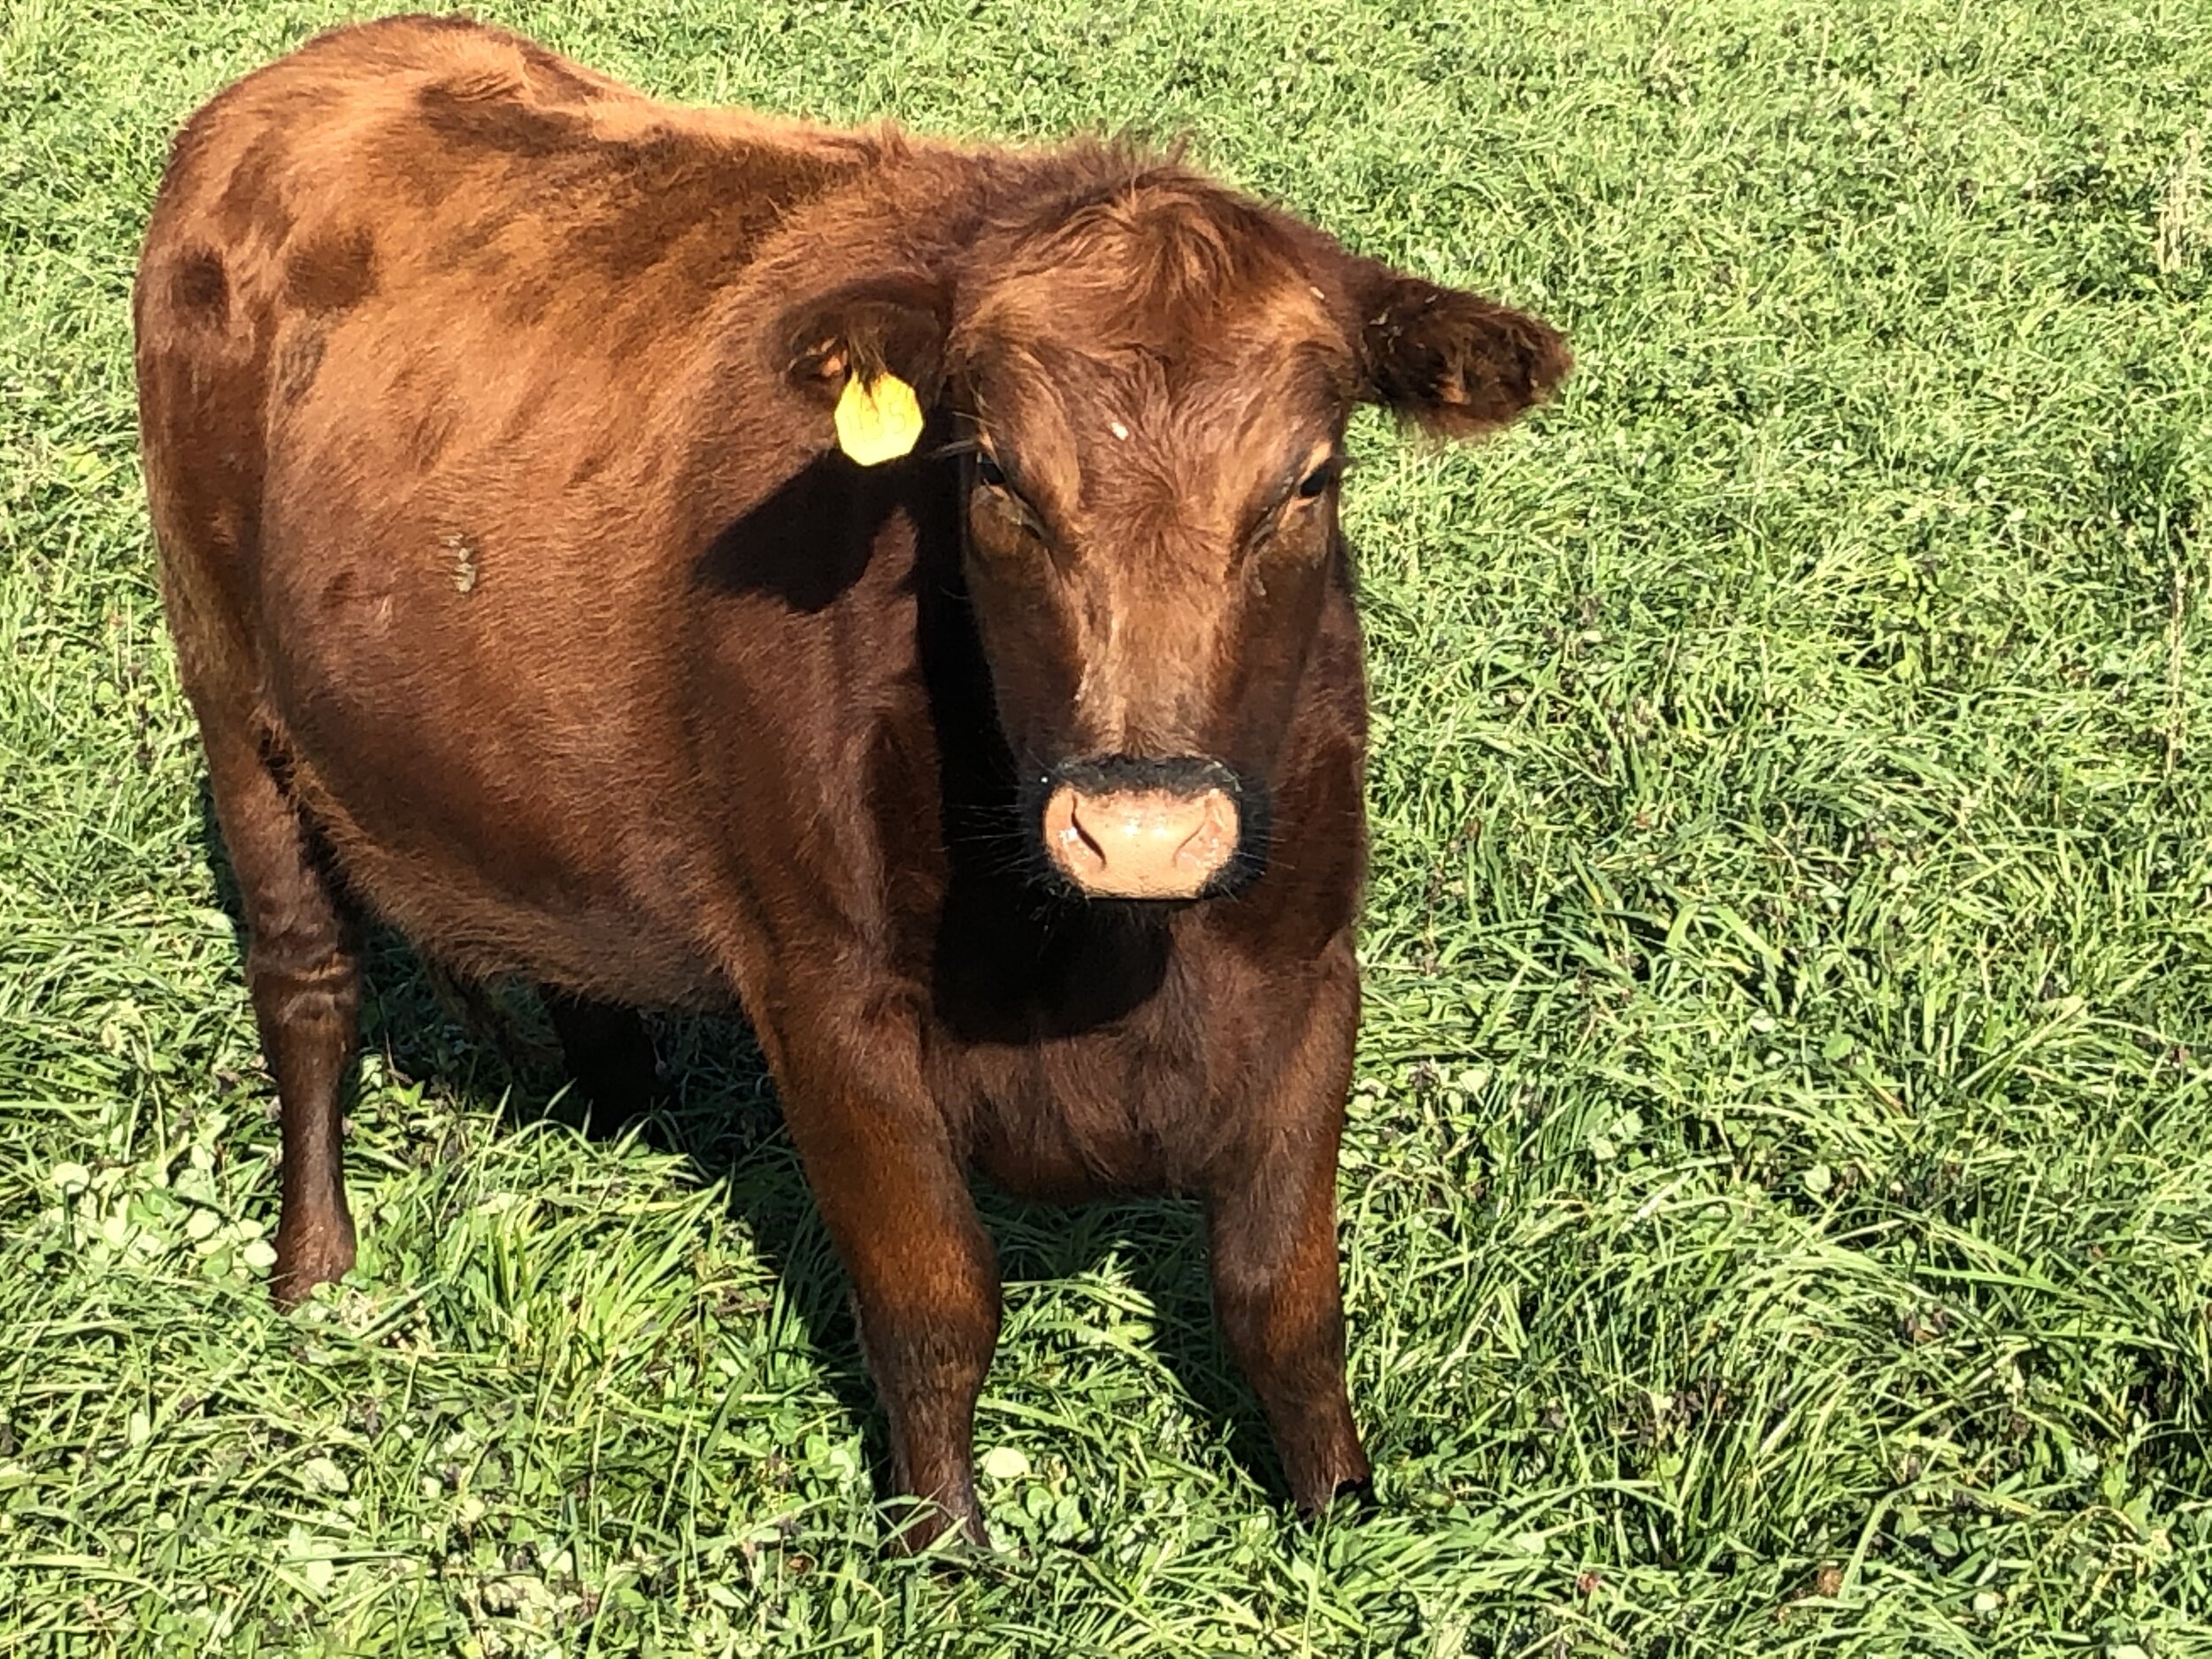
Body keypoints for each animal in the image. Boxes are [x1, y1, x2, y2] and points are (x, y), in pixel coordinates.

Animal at [133, 14, 1568, 1548]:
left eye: (1309, 480)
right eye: (994, 477)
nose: (1142, 829)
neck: (1099, 965)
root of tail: (322, 66)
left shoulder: (1307, 972)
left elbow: (1285, 1307)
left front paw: (1345, 1519)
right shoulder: (825, 994)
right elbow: (934, 1299)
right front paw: (945, 1550)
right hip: (230, 691)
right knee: (307, 983)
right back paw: (313, 1263)